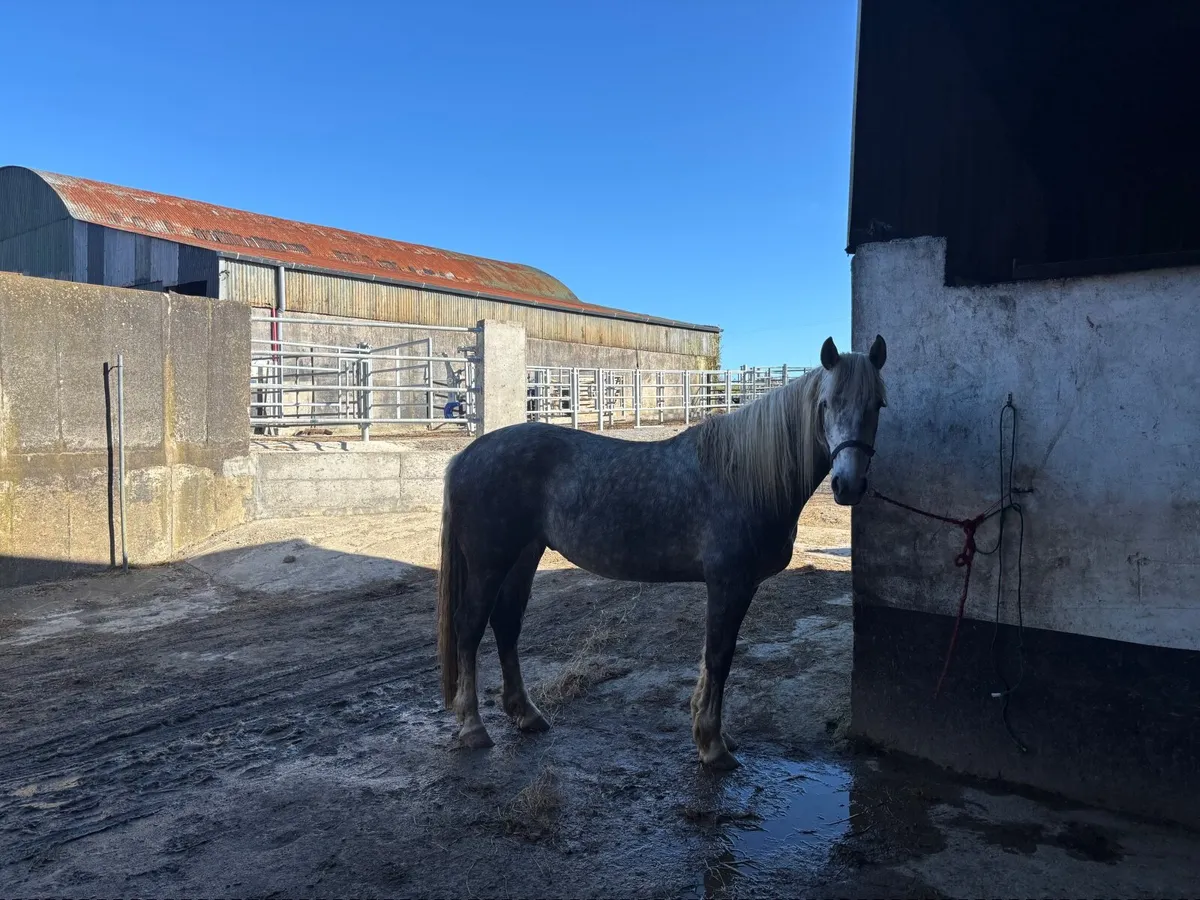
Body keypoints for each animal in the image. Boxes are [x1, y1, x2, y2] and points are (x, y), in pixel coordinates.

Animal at [437, 334, 888, 769]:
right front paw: (713, 748)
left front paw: (713, 735)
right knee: (470, 625)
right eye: (826, 404)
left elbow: (714, 657)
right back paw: (473, 727)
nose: (848, 485)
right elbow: (719, 656)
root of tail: (465, 456)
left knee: (506, 622)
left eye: (878, 405)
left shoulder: (736, 586)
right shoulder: (729, 583)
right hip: (489, 562)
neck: (743, 476)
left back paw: (526, 714)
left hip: (524, 555)